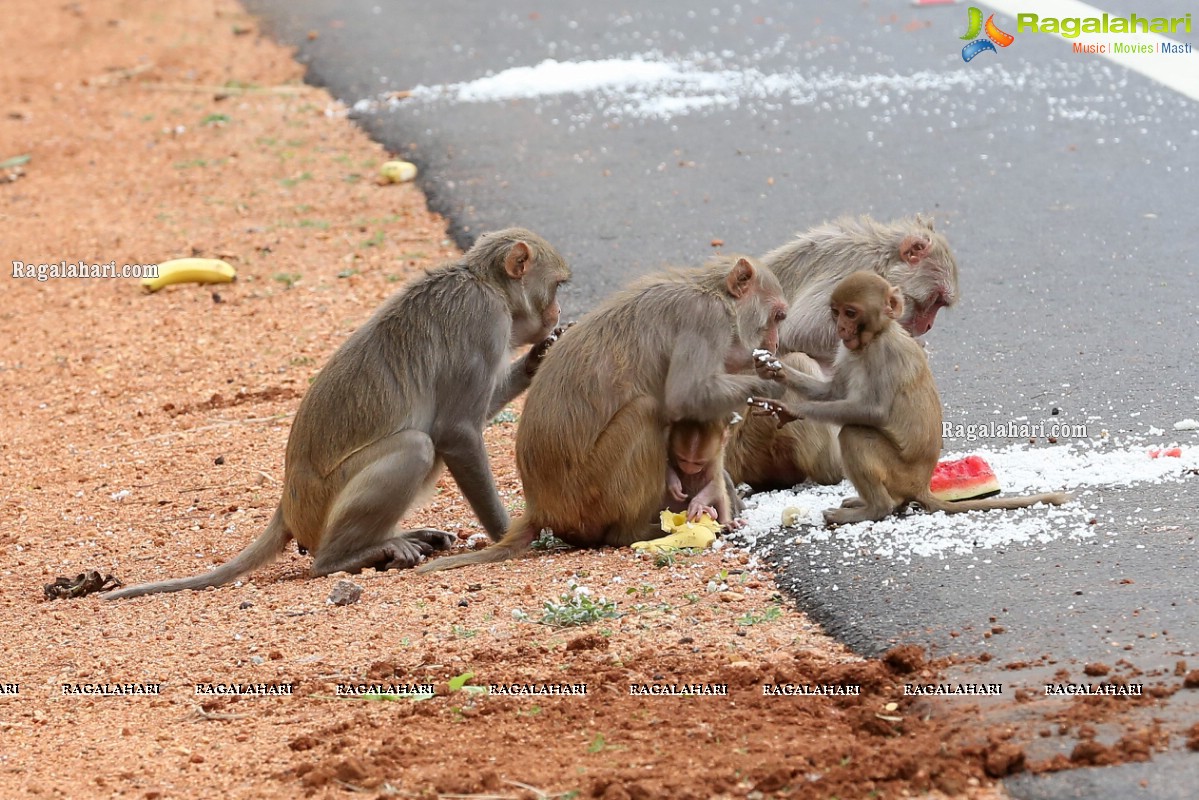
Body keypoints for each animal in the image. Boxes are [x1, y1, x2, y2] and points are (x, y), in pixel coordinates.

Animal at [104, 227, 570, 597]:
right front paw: (508, 538)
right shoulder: (484, 320)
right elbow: (455, 431)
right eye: (558, 287)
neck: (483, 282)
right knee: (416, 447)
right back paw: (343, 558)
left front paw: (538, 360)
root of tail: (288, 502)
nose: (558, 313)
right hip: (323, 508)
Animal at [417, 256, 791, 568]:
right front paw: (771, 385)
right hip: (591, 495)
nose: (774, 345)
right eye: (777, 317)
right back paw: (636, 533)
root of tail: (541, 507)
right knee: (645, 410)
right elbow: (688, 396)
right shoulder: (704, 319)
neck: (716, 295)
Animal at [752, 272, 1074, 527]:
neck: (874, 337)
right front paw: (775, 371)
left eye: (851, 313)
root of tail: (921, 485)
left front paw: (791, 409)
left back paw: (875, 509)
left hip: (900, 474)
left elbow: (874, 412)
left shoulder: (886, 355)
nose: (841, 329)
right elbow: (833, 392)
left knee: (854, 433)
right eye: (836, 312)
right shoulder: (845, 350)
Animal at [762, 212, 959, 362]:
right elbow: (802, 331)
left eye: (940, 303)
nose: (928, 326)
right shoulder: (854, 279)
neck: (882, 264)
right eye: (936, 300)